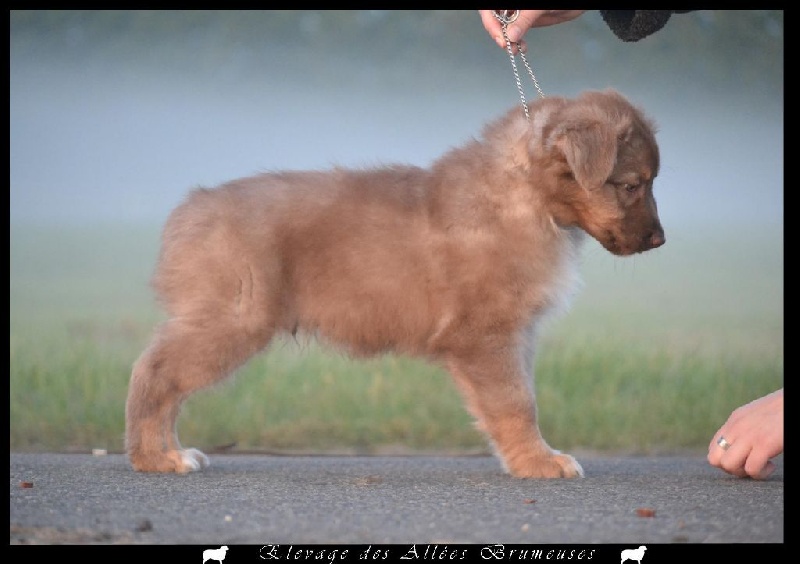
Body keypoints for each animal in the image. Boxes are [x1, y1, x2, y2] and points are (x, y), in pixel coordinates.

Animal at [125, 88, 664, 476]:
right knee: (154, 374)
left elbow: (520, 397)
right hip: (233, 318)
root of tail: (191, 207)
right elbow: (516, 402)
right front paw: (539, 462)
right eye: (632, 184)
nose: (659, 240)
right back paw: (156, 458)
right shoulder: (486, 335)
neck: (525, 194)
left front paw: (532, 458)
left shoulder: (515, 333)